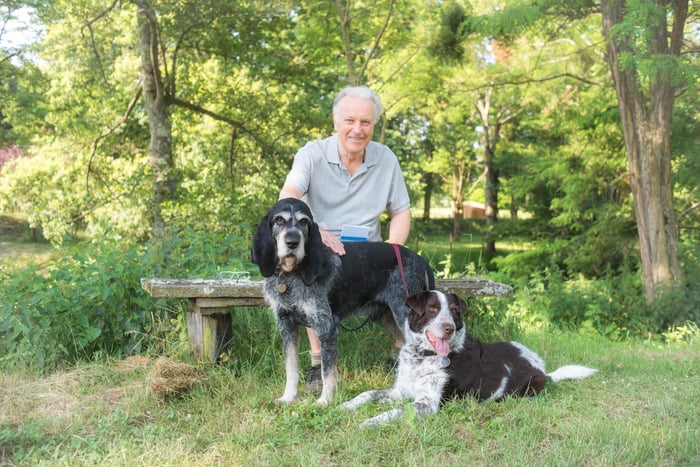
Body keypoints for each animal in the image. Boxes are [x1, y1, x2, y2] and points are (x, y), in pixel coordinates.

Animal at [252, 197, 434, 406]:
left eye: (304, 222)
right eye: (279, 220)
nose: (292, 242)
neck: (290, 275)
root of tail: (419, 258)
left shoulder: (327, 327)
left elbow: (327, 372)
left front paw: (324, 401)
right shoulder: (286, 326)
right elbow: (291, 368)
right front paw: (288, 397)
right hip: (388, 316)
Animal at [342, 290, 600, 430]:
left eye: (455, 310)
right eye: (433, 309)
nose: (449, 328)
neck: (423, 357)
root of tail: (544, 369)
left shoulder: (426, 404)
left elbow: (392, 412)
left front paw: (368, 423)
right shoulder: (401, 391)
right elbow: (367, 394)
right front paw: (345, 406)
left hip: (529, 387)